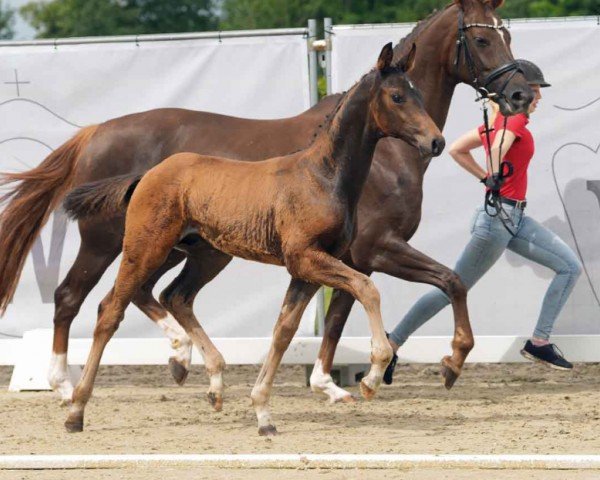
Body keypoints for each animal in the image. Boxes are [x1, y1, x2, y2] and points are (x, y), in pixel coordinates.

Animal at [65, 46, 442, 436]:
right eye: (397, 96)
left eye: (418, 94)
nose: (436, 141)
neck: (323, 176)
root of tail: (147, 175)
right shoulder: (305, 258)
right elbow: (367, 288)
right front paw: (372, 375)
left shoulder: (307, 269)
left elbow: (283, 330)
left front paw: (263, 414)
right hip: (145, 249)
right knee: (110, 310)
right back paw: (75, 409)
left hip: (207, 255)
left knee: (176, 296)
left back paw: (214, 384)